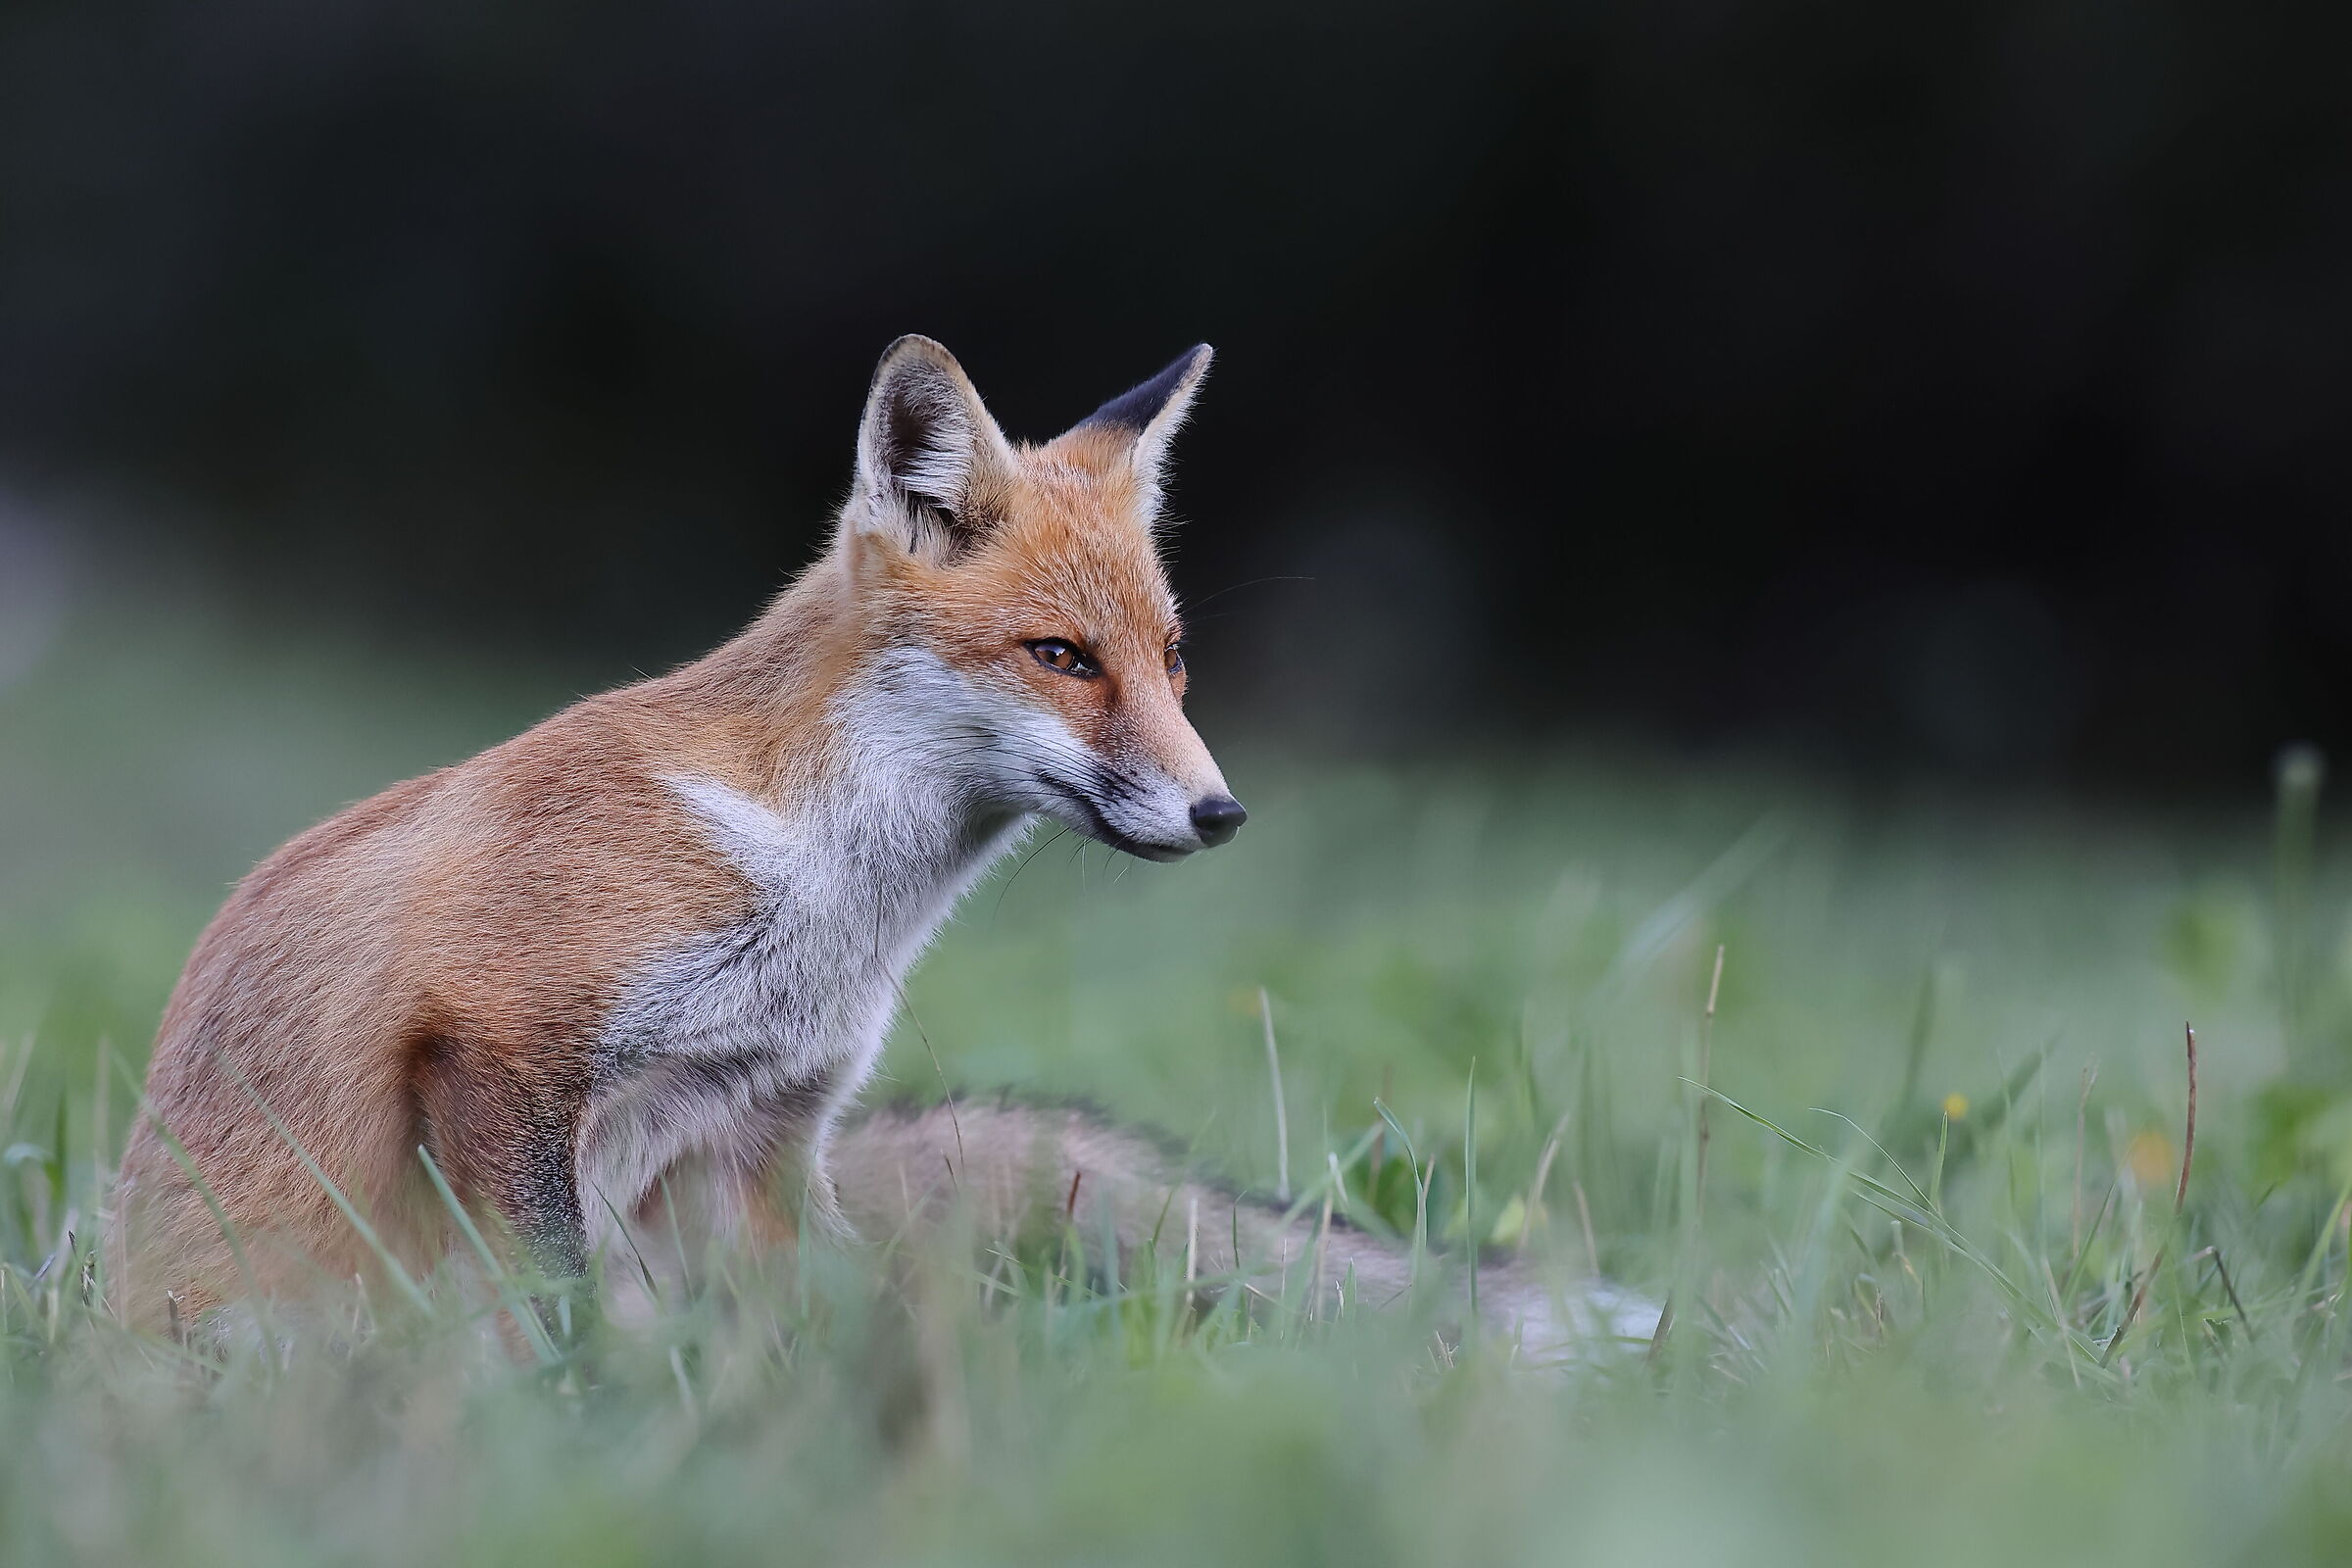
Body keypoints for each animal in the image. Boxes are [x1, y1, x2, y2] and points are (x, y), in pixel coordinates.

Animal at [112, 336, 1655, 1358]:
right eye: (1062, 657)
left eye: (1172, 663)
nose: (1220, 813)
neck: (824, 893)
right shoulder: (495, 1046)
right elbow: (554, 1318)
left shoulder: (767, 1130)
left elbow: (823, 1334)